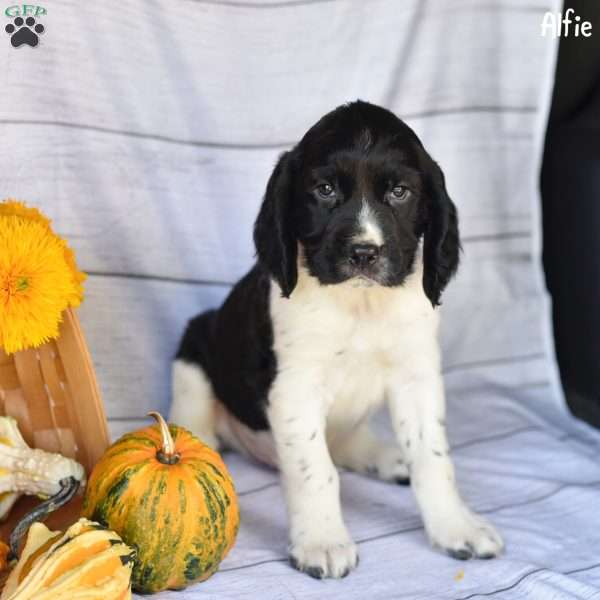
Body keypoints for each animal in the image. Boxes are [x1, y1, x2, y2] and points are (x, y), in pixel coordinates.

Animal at [171, 101, 504, 580]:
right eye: (324, 190)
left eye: (400, 192)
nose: (364, 253)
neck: (360, 305)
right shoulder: (295, 388)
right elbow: (315, 470)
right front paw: (322, 541)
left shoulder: (416, 377)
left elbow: (432, 458)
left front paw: (455, 525)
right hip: (194, 351)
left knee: (348, 443)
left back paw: (387, 458)